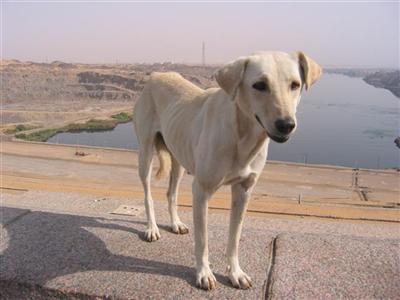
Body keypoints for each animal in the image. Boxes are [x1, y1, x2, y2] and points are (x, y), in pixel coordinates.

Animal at [132, 50, 322, 290]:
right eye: (259, 85)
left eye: (295, 84)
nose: (286, 124)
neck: (242, 136)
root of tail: (157, 74)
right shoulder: (201, 191)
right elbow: (202, 240)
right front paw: (204, 273)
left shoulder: (244, 191)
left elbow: (234, 237)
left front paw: (236, 273)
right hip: (146, 153)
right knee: (147, 193)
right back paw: (152, 228)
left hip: (179, 157)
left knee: (171, 193)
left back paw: (175, 223)